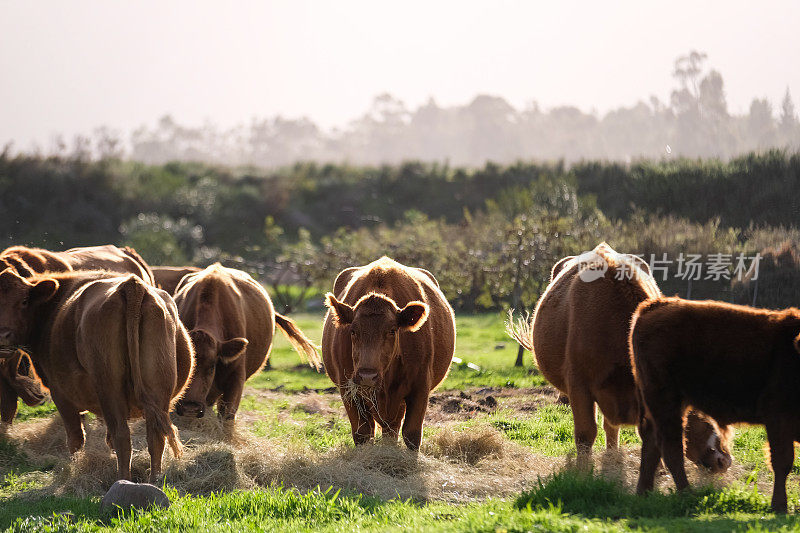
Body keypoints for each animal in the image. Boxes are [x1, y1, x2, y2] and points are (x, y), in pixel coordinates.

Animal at [0, 268, 192, 480]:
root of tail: (131, 285)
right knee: (155, 436)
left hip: (109, 388)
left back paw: (123, 479)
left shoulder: (61, 395)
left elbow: (76, 439)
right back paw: (154, 479)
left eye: (24, 301)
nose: (3, 335)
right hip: (158, 390)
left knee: (121, 435)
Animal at [320, 256, 456, 446]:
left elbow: (412, 434)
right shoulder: (348, 389)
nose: (367, 376)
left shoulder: (420, 387)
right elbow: (362, 433)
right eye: (353, 331)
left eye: (392, 330)